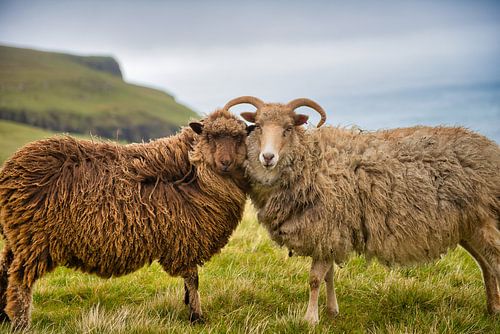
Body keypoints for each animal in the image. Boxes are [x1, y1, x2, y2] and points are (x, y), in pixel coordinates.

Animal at [0, 109, 249, 328]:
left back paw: (4, 316)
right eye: (209, 137)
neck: (192, 172)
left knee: (5, 270)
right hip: (34, 240)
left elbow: (190, 283)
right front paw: (196, 317)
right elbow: (193, 280)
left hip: (17, 238)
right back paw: (21, 323)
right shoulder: (186, 241)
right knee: (20, 282)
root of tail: (10, 171)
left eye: (239, 138)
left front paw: (189, 308)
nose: (225, 162)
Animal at [226, 96, 500, 324]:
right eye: (258, 127)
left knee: (494, 262)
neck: (312, 161)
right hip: (468, 227)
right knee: (486, 265)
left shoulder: (327, 227)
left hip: (484, 220)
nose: (267, 157)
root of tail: (491, 149)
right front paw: (331, 311)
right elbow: (328, 276)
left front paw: (310, 319)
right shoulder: (332, 235)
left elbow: (314, 279)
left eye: (288, 129)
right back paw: (492, 308)